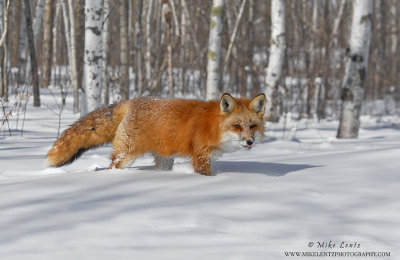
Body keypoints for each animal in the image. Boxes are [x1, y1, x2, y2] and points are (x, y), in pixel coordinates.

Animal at [45, 92, 266, 176]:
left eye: (252, 126)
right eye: (237, 126)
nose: (249, 142)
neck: (213, 125)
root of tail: (132, 101)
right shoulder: (201, 156)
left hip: (165, 159)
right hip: (127, 154)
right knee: (113, 166)